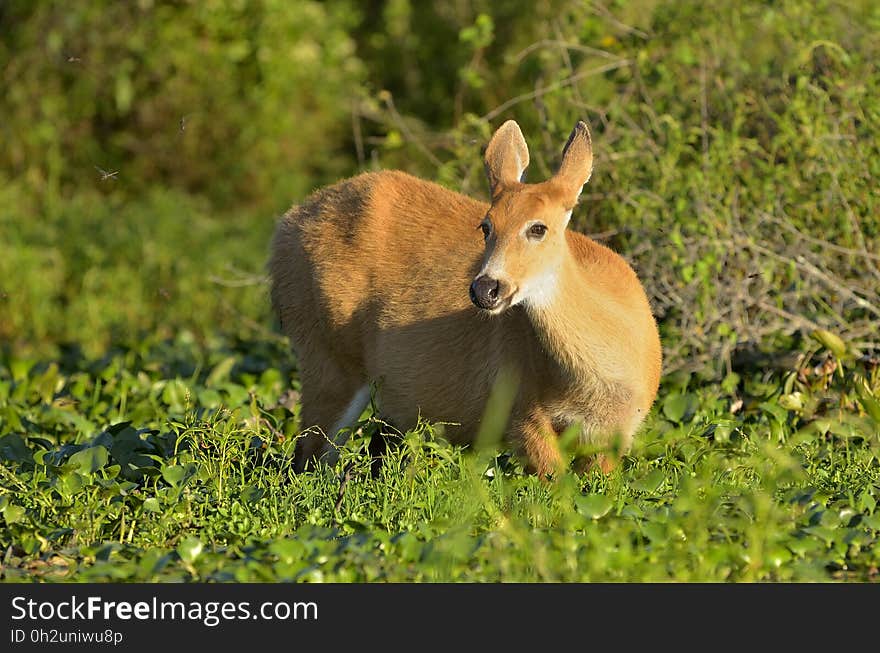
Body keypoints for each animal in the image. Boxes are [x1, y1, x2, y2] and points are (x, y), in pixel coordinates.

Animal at [268, 119, 660, 478]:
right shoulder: (520, 410)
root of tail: (285, 228)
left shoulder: (616, 436)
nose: (485, 288)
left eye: (538, 227)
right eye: (486, 226)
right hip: (327, 359)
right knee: (306, 462)